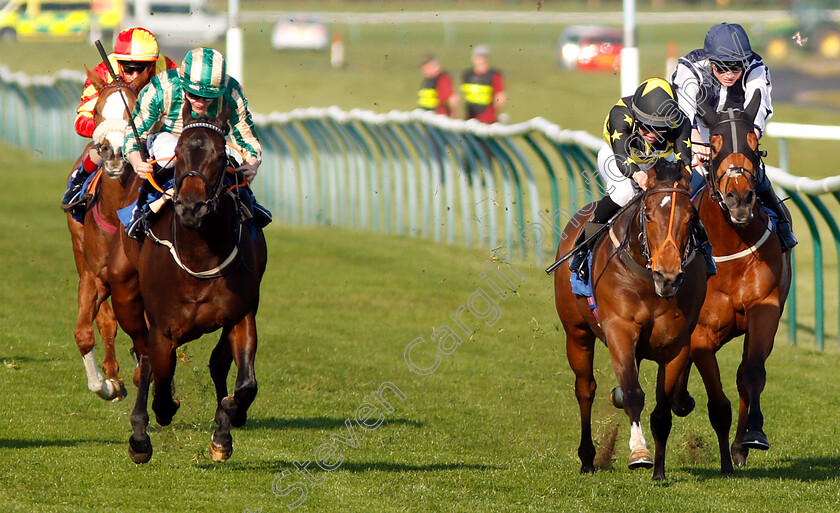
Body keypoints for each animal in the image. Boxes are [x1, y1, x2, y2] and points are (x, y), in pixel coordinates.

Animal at [64, 65, 154, 400]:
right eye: (97, 111)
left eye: (134, 113)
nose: (113, 152)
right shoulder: (93, 276)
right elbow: (85, 331)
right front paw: (104, 383)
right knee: (107, 321)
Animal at [107, 102, 266, 462]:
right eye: (178, 153)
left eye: (221, 156)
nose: (192, 208)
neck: (199, 256)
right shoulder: (163, 328)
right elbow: (162, 390)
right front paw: (151, 425)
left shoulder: (240, 314)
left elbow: (244, 384)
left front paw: (229, 420)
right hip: (125, 296)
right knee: (145, 357)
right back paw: (140, 435)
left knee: (217, 364)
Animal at [556, 161, 708, 480]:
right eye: (648, 214)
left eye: (690, 217)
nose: (668, 276)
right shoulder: (619, 329)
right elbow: (633, 393)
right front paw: (639, 452)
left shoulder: (677, 343)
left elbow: (661, 410)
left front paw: (659, 472)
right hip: (576, 332)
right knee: (585, 389)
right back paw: (587, 458)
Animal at [680, 91, 792, 468]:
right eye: (714, 145)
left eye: (754, 142)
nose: (740, 198)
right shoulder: (700, 332)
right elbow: (718, 401)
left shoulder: (765, 308)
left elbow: (750, 373)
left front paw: (750, 438)